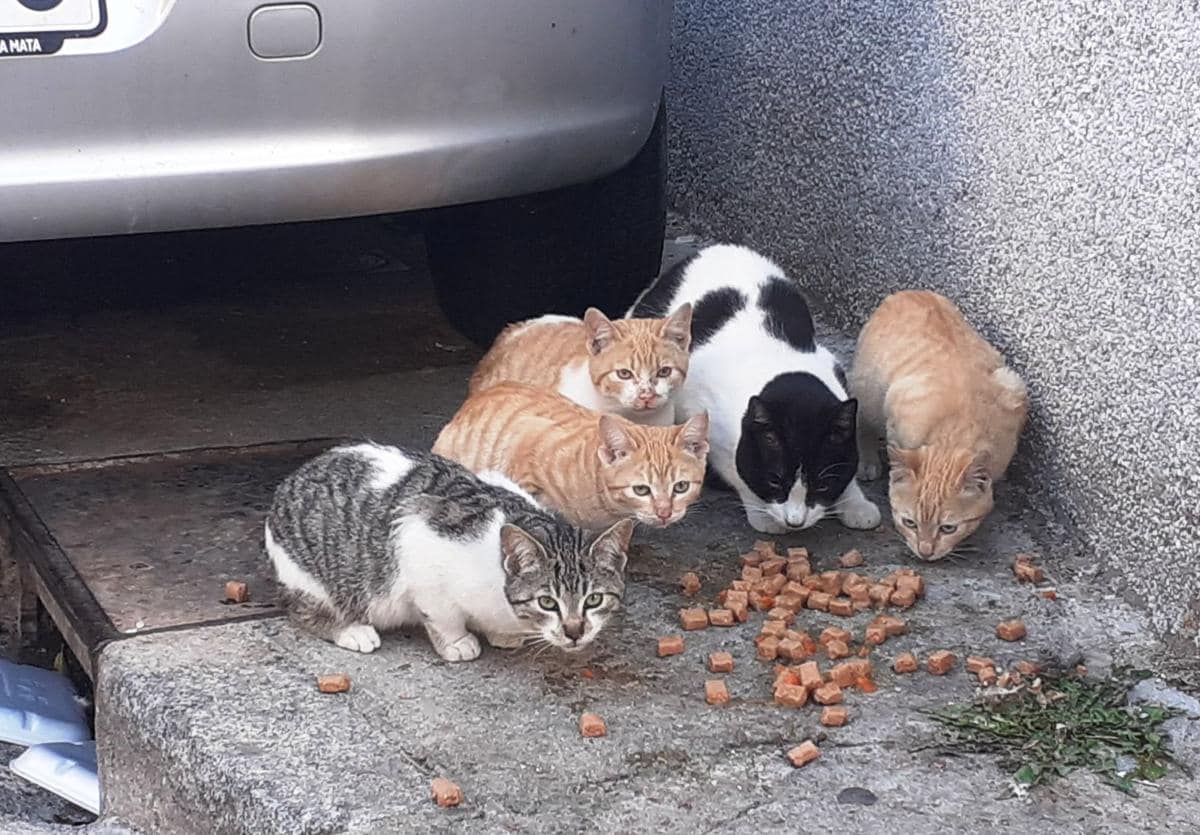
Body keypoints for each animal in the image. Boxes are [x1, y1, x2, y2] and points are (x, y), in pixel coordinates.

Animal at [265, 441, 638, 662]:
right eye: (547, 602)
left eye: (594, 599)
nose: (575, 631)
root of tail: (290, 480)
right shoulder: (419, 546)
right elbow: (442, 616)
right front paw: (457, 642)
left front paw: (502, 634)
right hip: (313, 579)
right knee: (305, 610)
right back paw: (352, 630)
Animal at [628, 244, 883, 535]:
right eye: (774, 480)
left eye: (822, 485)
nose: (795, 522)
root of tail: (711, 249)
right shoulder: (708, 421)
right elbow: (739, 472)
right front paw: (763, 515)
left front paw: (856, 505)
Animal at [849, 291, 1027, 561]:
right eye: (910, 523)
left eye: (948, 528)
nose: (925, 553)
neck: (956, 431)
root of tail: (908, 292)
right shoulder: (898, 404)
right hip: (869, 391)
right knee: (862, 424)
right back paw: (868, 461)